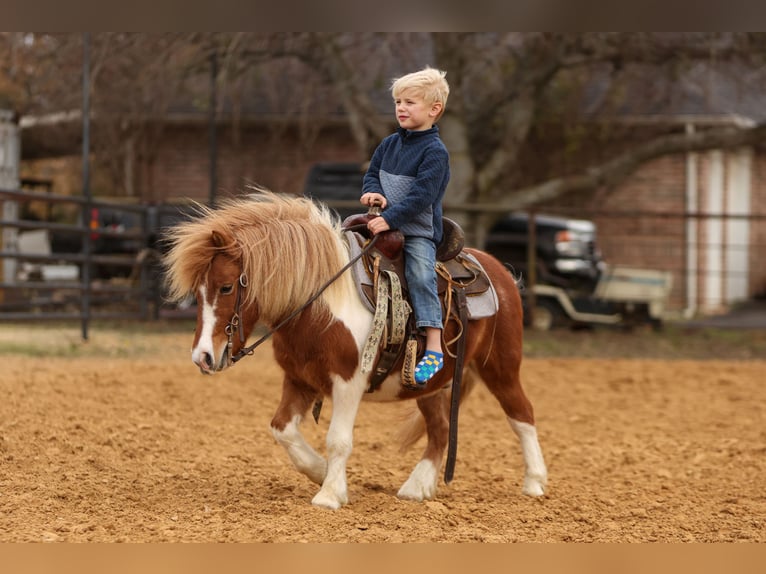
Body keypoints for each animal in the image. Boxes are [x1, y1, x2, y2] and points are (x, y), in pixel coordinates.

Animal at [163, 191, 547, 509]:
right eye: (196, 292)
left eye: (227, 287)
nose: (202, 357)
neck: (320, 306)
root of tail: (498, 270)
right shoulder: (299, 380)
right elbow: (282, 429)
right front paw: (321, 473)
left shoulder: (348, 382)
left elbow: (338, 439)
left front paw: (330, 494)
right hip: (431, 385)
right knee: (440, 430)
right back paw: (417, 487)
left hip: (501, 366)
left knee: (522, 414)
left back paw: (535, 483)